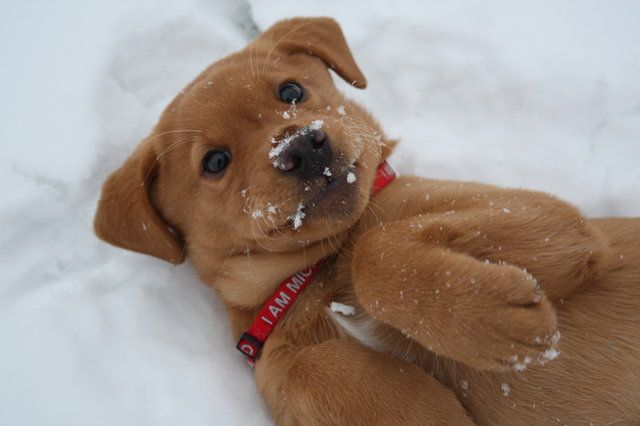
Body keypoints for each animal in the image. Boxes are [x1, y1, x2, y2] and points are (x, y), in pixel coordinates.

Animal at [94, 17, 640, 426]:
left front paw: (491, 318)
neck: (318, 269)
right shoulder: (277, 369)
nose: (302, 146)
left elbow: (377, 252)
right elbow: (312, 366)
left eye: (291, 91)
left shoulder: (553, 220)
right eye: (214, 162)